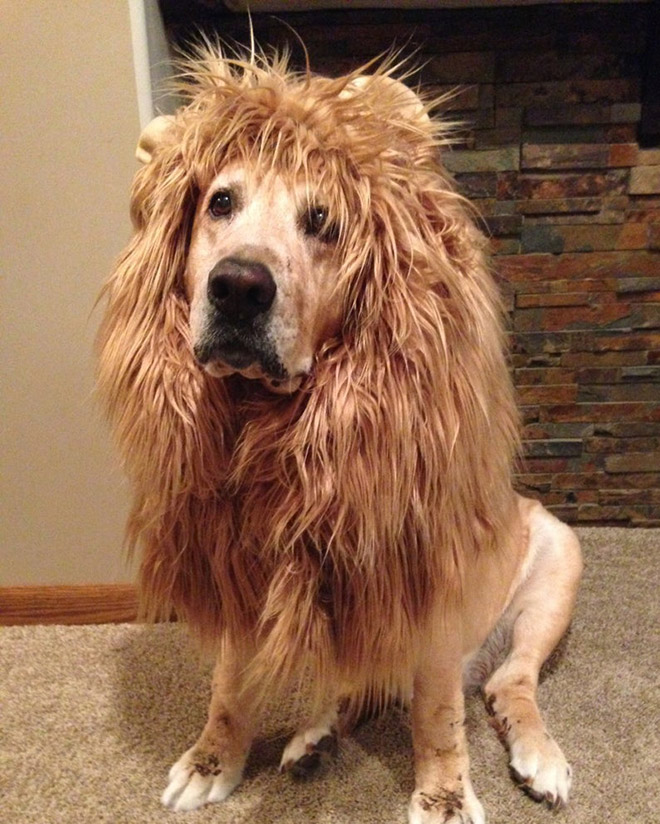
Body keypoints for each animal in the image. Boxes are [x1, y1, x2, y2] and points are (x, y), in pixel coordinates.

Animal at [95, 48, 580, 820]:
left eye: (322, 220)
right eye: (219, 203)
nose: (238, 286)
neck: (271, 425)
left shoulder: (424, 582)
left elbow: (439, 716)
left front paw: (443, 795)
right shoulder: (233, 564)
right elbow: (228, 687)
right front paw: (213, 759)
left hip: (558, 564)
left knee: (508, 684)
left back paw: (540, 758)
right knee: (356, 688)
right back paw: (314, 736)